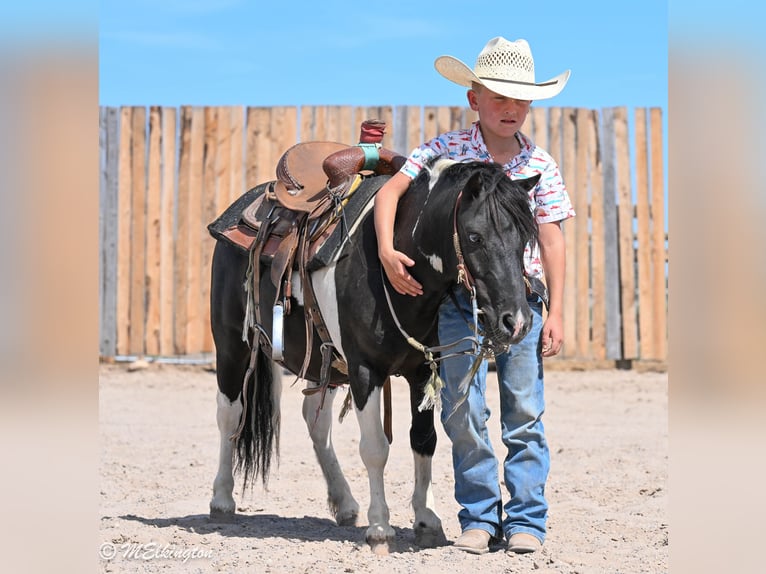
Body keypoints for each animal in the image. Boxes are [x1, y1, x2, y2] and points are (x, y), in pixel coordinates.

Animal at [208, 157, 540, 553]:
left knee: (316, 421)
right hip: (232, 345)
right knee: (229, 414)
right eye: (475, 236)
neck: (392, 261)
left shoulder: (422, 370)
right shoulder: (365, 370)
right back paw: (221, 501)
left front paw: (427, 520)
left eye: (524, 238)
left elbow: (423, 440)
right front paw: (380, 528)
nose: (516, 320)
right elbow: (375, 448)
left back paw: (345, 503)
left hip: (322, 361)